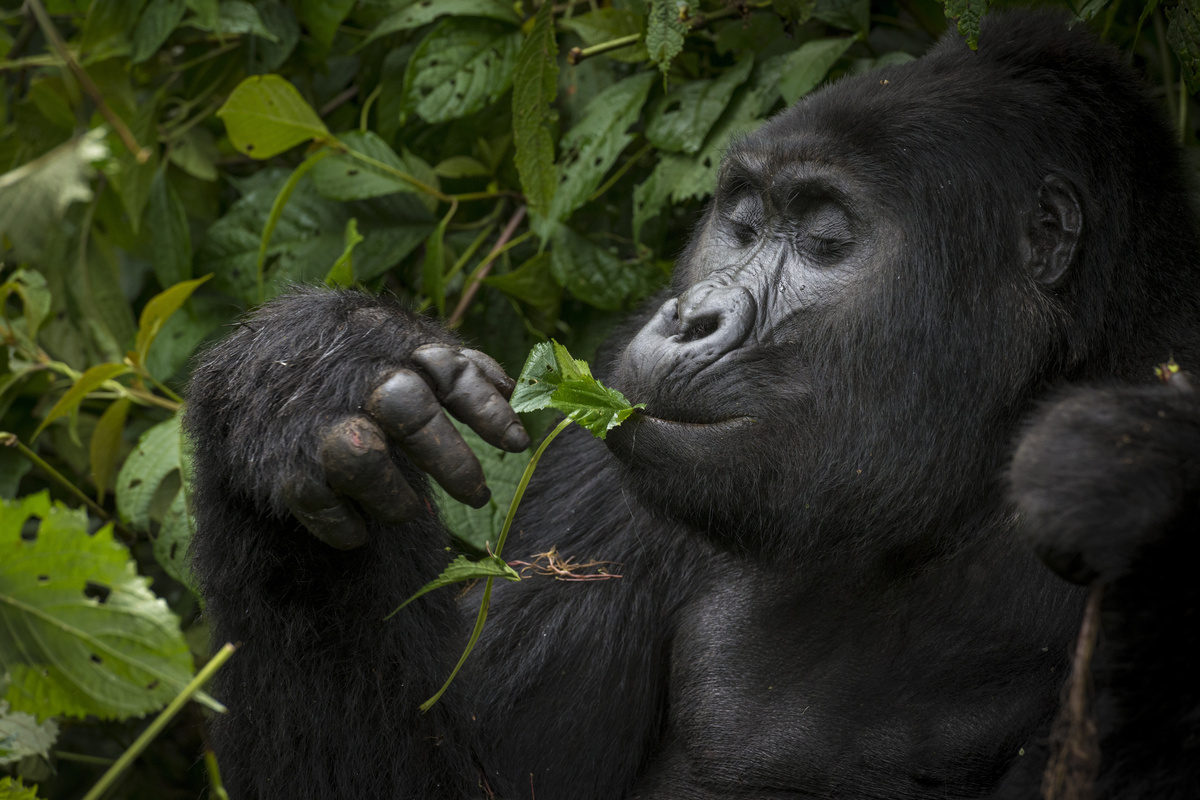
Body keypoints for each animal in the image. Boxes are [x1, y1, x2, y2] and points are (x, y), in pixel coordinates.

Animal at [184, 10, 1200, 800]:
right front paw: (302, 384)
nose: (691, 317)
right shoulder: (610, 454)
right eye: (742, 223)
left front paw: (1132, 481)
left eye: (826, 239)